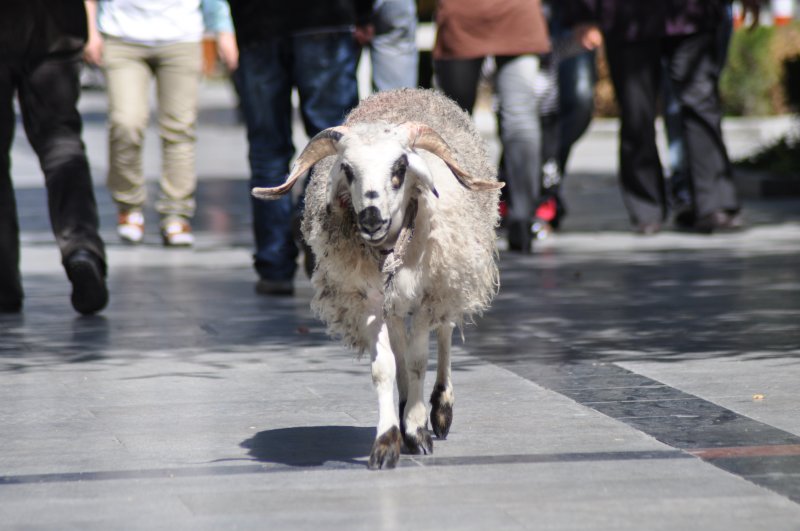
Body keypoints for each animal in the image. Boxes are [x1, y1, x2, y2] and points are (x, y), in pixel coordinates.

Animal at [253, 89, 504, 472]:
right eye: (347, 169)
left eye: (400, 167)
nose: (371, 218)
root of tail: (410, 91)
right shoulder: (368, 302)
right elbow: (385, 368)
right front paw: (388, 441)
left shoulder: (426, 298)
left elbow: (418, 361)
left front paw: (418, 429)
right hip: (395, 303)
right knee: (400, 345)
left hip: (448, 279)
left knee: (445, 333)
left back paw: (440, 409)